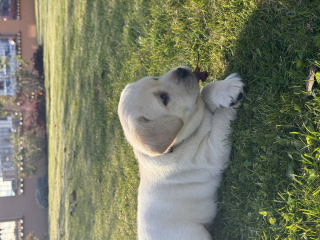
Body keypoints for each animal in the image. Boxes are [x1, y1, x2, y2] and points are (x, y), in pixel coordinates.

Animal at [118, 66, 245, 240]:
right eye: (164, 99)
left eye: (155, 78)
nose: (181, 71)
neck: (174, 145)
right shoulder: (211, 152)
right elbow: (220, 120)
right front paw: (230, 98)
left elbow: (205, 90)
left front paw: (224, 88)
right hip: (196, 234)